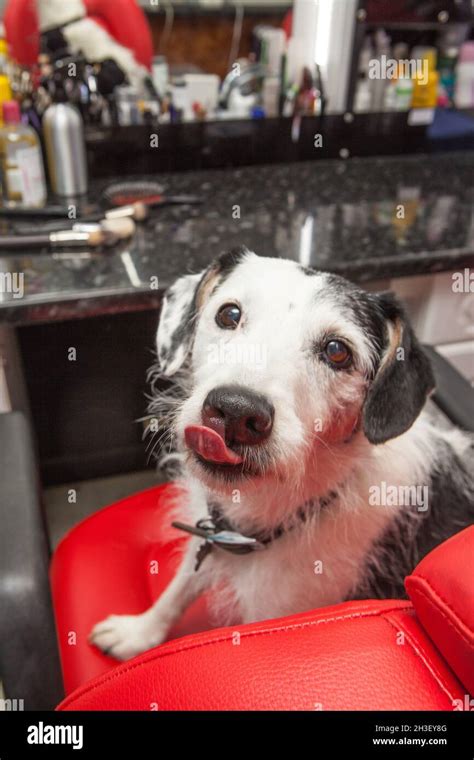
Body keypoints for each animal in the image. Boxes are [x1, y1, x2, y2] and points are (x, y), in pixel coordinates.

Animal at [90, 248, 474, 660]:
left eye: (337, 351)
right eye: (229, 314)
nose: (236, 411)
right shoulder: (206, 535)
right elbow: (178, 587)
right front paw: (139, 631)